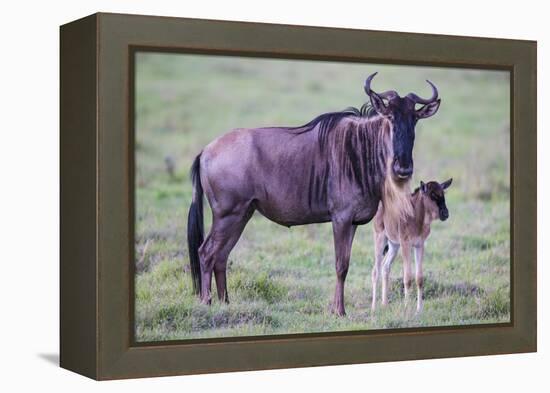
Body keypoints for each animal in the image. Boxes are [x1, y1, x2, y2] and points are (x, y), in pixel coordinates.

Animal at [374, 178, 454, 312]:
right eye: (432, 195)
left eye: (443, 193)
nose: (445, 214)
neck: (416, 217)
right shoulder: (406, 245)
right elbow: (407, 278)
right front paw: (407, 308)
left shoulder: (419, 245)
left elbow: (419, 278)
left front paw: (419, 309)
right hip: (380, 239)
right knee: (375, 270)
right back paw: (373, 308)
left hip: (394, 245)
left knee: (385, 267)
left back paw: (384, 304)